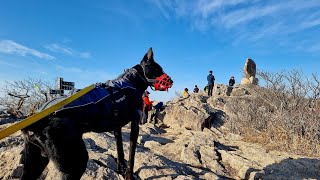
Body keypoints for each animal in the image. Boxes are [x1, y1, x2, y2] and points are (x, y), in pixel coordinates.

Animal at [19, 48, 174, 180]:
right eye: (158, 69)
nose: (172, 81)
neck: (131, 82)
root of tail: (36, 120)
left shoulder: (117, 128)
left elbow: (120, 151)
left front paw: (120, 170)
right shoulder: (135, 124)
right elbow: (131, 157)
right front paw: (128, 176)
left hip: (35, 162)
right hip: (75, 163)